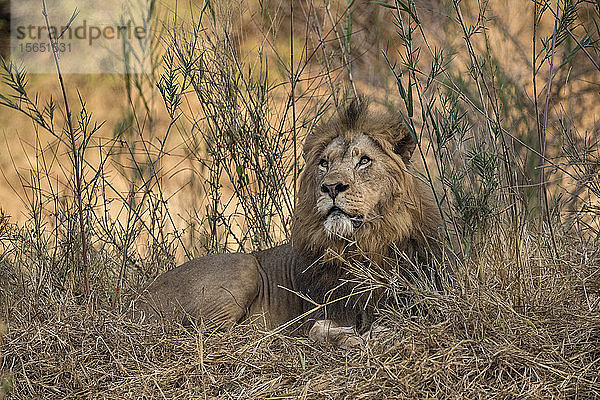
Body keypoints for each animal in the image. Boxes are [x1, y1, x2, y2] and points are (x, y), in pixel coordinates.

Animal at [138, 98, 442, 346]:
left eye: (364, 161)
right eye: (324, 163)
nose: (331, 187)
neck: (364, 244)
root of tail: (137, 300)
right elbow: (318, 329)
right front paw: (355, 335)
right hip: (244, 265)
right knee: (214, 332)